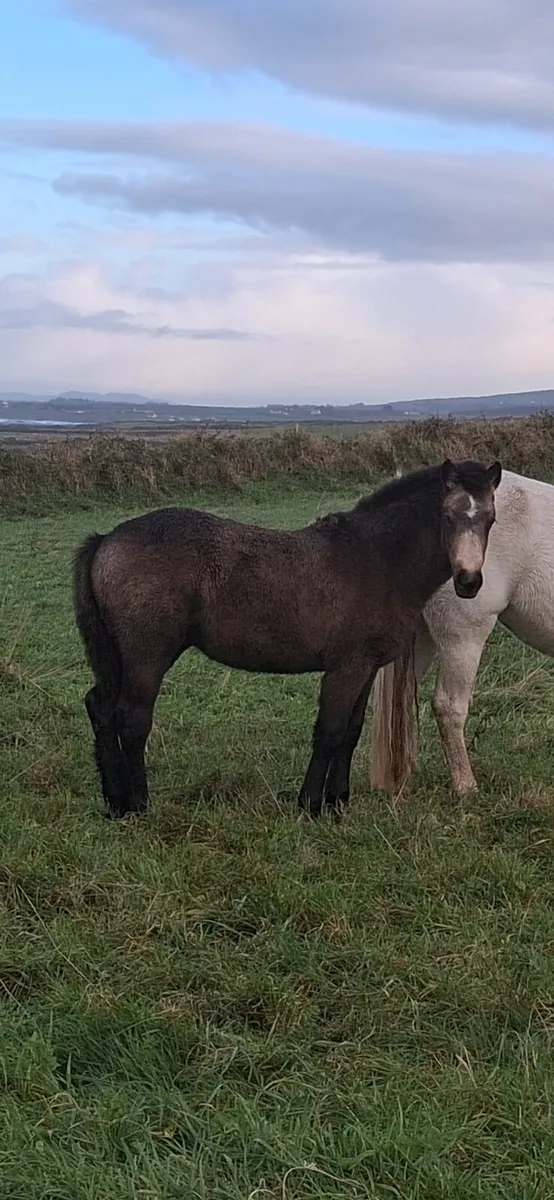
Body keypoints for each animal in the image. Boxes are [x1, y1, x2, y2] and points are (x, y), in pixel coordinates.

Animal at [73, 458, 501, 820]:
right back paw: (138, 804)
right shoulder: (346, 668)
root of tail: (106, 539)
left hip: (115, 657)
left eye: (491, 519)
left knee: (100, 707)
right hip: (147, 655)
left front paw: (338, 801)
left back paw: (114, 802)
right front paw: (310, 804)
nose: (468, 581)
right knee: (132, 719)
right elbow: (329, 731)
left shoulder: (365, 667)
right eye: (447, 515)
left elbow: (351, 732)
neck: (378, 560)